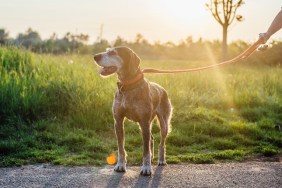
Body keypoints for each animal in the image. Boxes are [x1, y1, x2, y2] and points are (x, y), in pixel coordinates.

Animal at [93, 46, 172, 176]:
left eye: (113, 53)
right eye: (107, 50)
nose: (95, 56)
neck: (128, 86)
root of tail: (162, 88)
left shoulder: (144, 121)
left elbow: (145, 150)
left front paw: (146, 168)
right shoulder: (118, 121)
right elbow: (121, 148)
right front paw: (120, 165)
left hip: (163, 123)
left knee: (162, 143)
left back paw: (161, 160)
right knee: (151, 139)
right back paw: (152, 158)